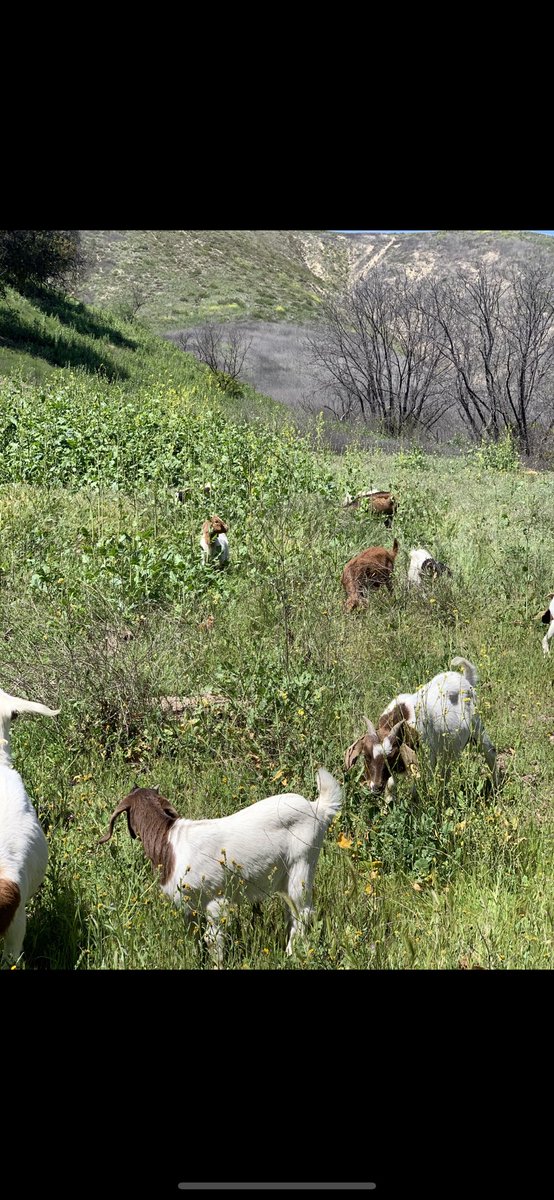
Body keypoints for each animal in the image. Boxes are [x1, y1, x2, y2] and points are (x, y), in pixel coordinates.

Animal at [97, 767, 342, 966]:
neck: (169, 845)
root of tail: (318, 808)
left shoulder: (215, 900)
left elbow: (213, 939)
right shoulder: (189, 906)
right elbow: (195, 937)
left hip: (303, 863)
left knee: (303, 913)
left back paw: (291, 954)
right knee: (292, 912)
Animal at [344, 657, 497, 796]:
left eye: (392, 756)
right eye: (366, 756)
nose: (376, 787)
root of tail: (465, 679)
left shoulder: (426, 757)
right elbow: (391, 785)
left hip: (477, 725)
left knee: (490, 751)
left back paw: (496, 787)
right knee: (446, 769)